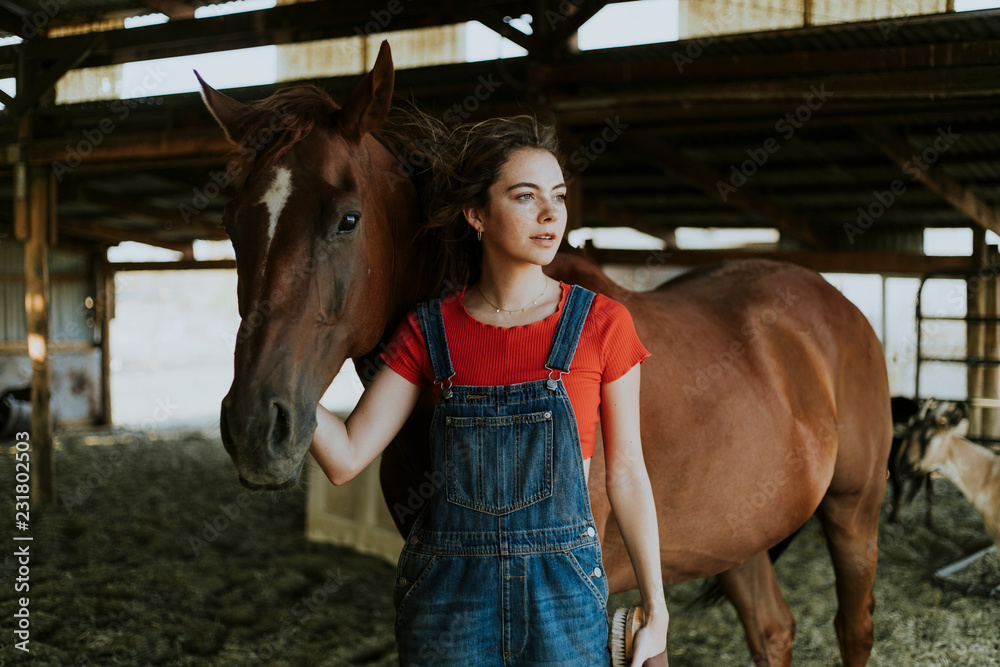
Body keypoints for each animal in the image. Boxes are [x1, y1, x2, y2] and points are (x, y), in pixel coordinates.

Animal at [201, 43, 892, 667]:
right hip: (738, 532)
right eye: (233, 225)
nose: (255, 427)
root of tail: (836, 303)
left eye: (347, 219)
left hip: (854, 510)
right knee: (772, 630)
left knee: (854, 627)